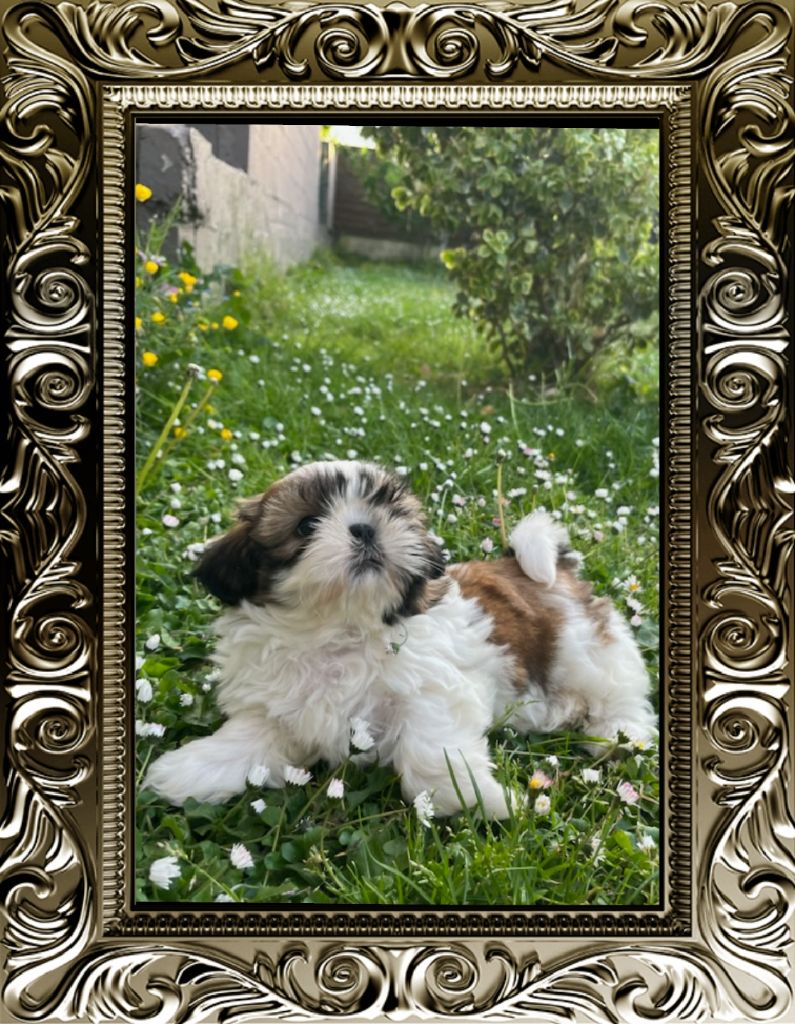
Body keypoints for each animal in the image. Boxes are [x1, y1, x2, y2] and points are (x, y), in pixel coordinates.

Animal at [144, 460, 657, 818]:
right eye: (306, 525)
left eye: (390, 512)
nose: (365, 528)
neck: (339, 628)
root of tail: (555, 568)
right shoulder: (281, 710)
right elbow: (246, 738)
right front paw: (188, 771)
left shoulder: (434, 691)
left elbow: (429, 749)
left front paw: (477, 799)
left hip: (583, 648)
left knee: (618, 690)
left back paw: (619, 734)